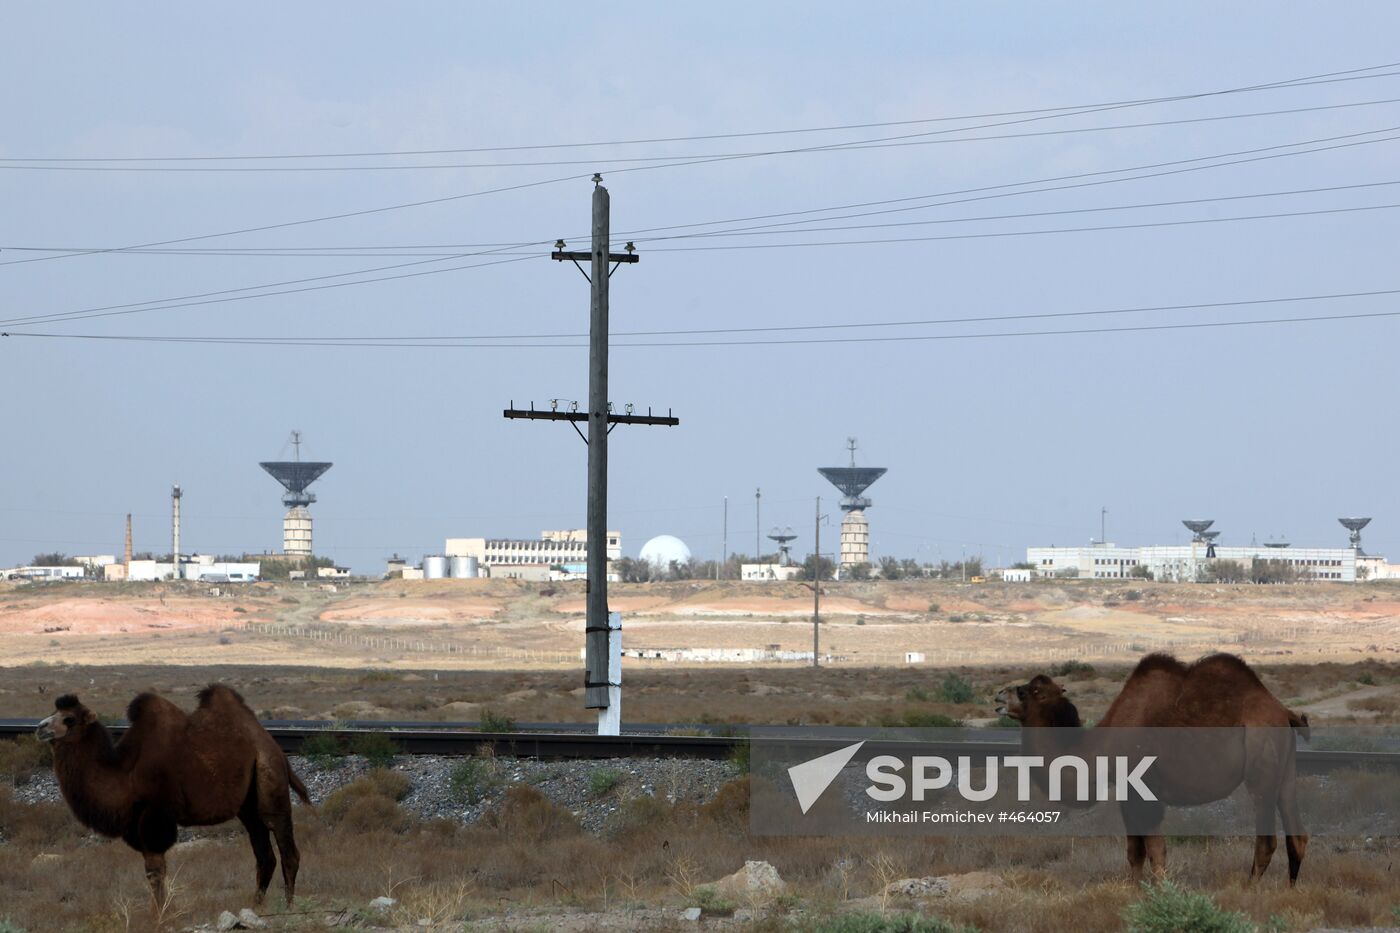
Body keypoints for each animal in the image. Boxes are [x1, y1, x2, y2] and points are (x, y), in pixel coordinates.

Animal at [36, 683, 310, 907]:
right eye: (53, 712)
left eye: (69, 718)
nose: (40, 728)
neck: (125, 772)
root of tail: (274, 747)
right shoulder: (136, 824)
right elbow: (151, 870)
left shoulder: (156, 815)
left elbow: (156, 871)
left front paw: (160, 914)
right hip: (248, 806)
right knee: (264, 852)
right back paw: (256, 904)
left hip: (269, 776)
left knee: (285, 842)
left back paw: (288, 906)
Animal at [996, 650, 1310, 885]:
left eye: (1030, 691)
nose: (999, 697)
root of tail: (1284, 712)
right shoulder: (1127, 793)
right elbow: (1134, 851)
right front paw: (1134, 890)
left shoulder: (1144, 791)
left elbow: (1155, 850)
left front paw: (1160, 892)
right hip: (1286, 769)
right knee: (1297, 835)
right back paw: (1290, 889)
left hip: (1262, 763)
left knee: (1267, 839)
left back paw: (1250, 889)